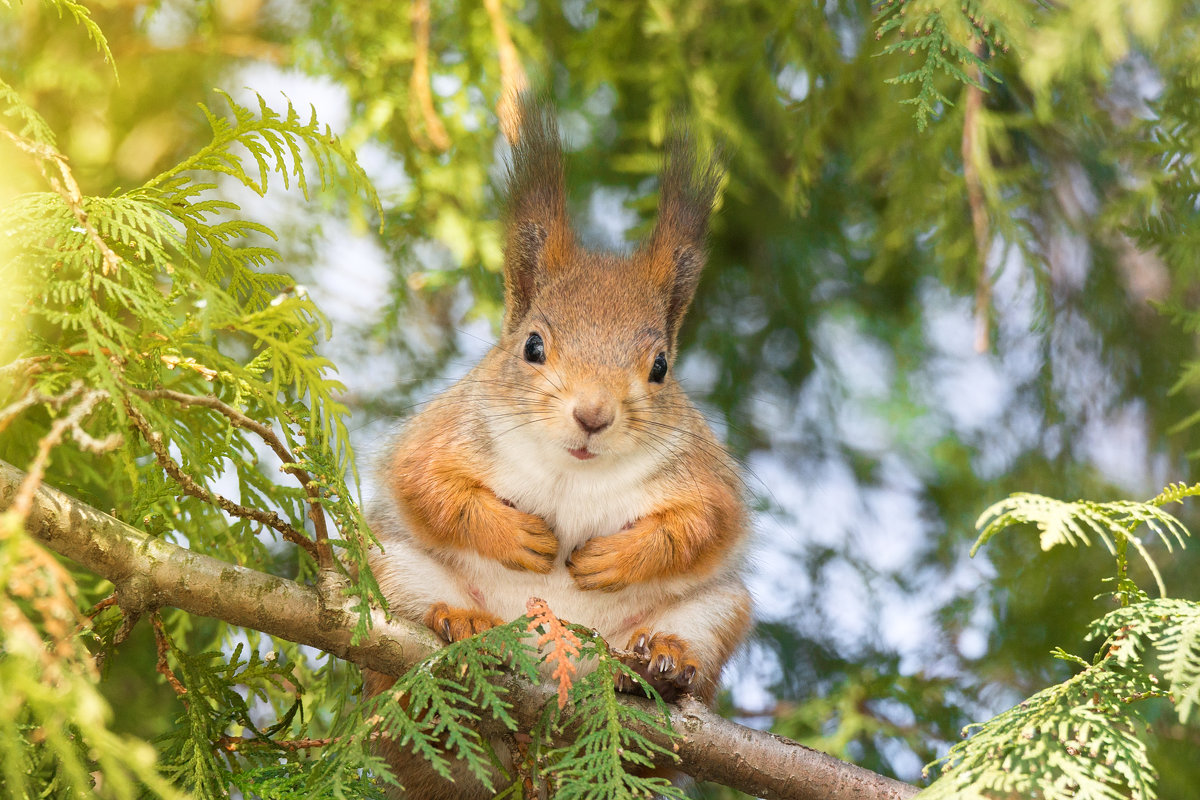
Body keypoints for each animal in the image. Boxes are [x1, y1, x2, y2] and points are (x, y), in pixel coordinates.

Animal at [360, 97, 748, 796]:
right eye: (532, 346)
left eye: (660, 367)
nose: (593, 415)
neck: (571, 471)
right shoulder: (448, 431)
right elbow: (426, 485)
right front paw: (517, 536)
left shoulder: (702, 472)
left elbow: (704, 523)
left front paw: (617, 558)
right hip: (390, 574)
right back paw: (460, 623)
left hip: (720, 610)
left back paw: (662, 660)